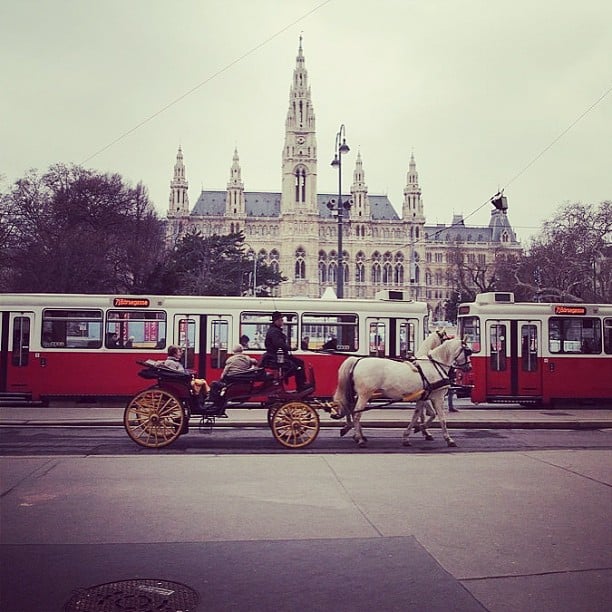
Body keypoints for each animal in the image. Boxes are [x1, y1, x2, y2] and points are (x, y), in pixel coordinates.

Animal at [332, 338, 470, 448]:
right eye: (468, 351)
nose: (469, 367)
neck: (435, 366)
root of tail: (358, 360)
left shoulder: (422, 398)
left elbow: (418, 416)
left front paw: (410, 435)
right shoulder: (438, 397)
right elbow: (441, 418)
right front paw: (449, 439)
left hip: (360, 395)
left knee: (353, 411)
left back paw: (357, 435)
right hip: (365, 394)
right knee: (357, 414)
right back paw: (360, 439)